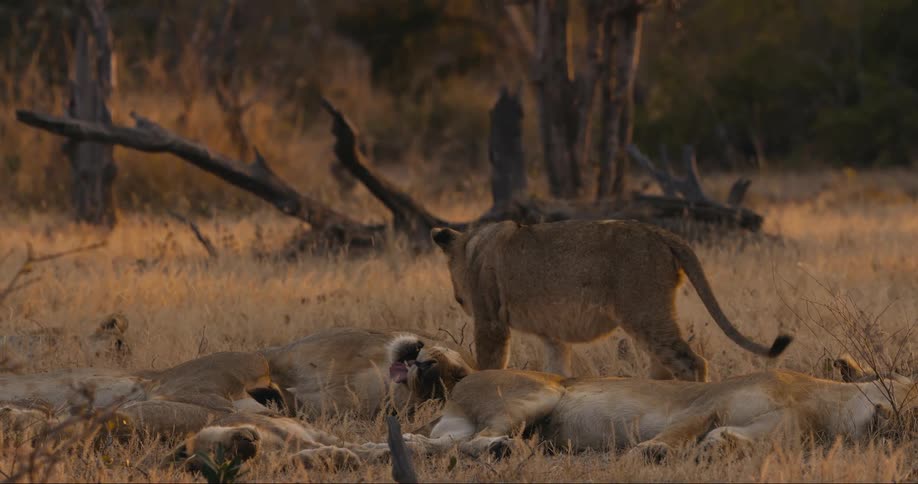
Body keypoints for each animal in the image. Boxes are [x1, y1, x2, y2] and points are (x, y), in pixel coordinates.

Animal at [431, 220, 792, 380]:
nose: (458, 299)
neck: (474, 245)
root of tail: (661, 232)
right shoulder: (553, 335)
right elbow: (557, 368)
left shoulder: (490, 321)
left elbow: (490, 365)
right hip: (652, 318)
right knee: (666, 364)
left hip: (645, 313)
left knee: (692, 362)